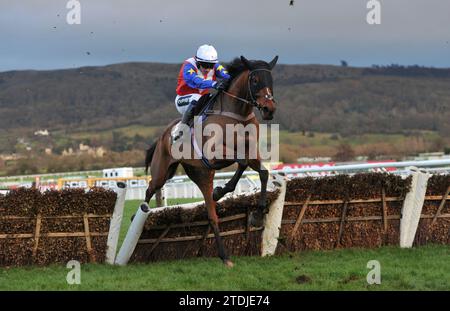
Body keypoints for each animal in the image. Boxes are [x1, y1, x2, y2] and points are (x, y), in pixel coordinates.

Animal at [144, 55, 278, 266]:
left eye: (271, 80)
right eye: (255, 80)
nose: (269, 109)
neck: (237, 114)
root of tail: (163, 136)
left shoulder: (250, 151)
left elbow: (262, 172)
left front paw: (257, 213)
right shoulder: (213, 154)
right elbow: (242, 161)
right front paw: (223, 190)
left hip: (199, 173)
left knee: (210, 212)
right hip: (161, 171)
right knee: (150, 187)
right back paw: (141, 211)